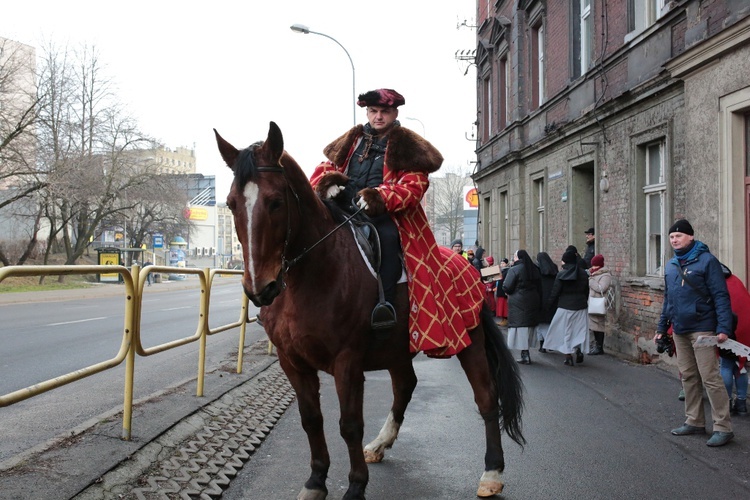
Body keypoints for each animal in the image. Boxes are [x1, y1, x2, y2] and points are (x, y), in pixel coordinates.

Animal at [214, 122, 524, 500]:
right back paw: (379, 444)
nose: (261, 288)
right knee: (405, 386)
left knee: (486, 398)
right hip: (397, 348)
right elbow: (311, 420)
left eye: (275, 201)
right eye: (231, 204)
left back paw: (492, 472)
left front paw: (355, 485)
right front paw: (316, 481)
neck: (314, 273)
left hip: (470, 341)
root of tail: (469, 266)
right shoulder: (292, 361)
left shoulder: (347, 361)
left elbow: (349, 425)